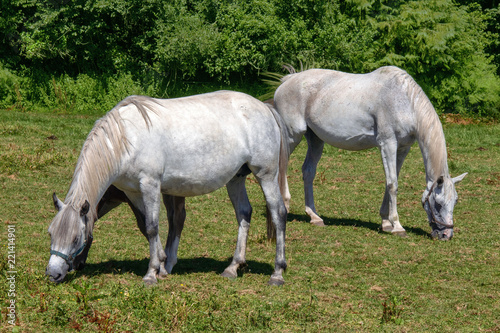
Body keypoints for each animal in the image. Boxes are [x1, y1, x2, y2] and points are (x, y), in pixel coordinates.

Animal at [47, 91, 290, 286]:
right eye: (50, 233)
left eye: (77, 239)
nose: (53, 274)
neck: (126, 138)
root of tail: (266, 109)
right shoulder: (134, 192)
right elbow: (147, 227)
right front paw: (162, 267)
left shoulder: (150, 185)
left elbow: (153, 227)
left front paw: (151, 274)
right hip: (236, 179)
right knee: (243, 213)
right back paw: (233, 267)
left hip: (266, 175)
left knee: (278, 214)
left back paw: (277, 273)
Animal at [272, 66, 466, 240]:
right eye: (438, 203)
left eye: (455, 201)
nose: (446, 235)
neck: (404, 101)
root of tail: (288, 80)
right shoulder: (388, 143)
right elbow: (392, 184)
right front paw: (397, 226)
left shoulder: (403, 148)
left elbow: (390, 182)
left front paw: (386, 222)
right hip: (292, 136)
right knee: (283, 165)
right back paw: (285, 205)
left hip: (315, 140)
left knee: (308, 172)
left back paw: (314, 216)